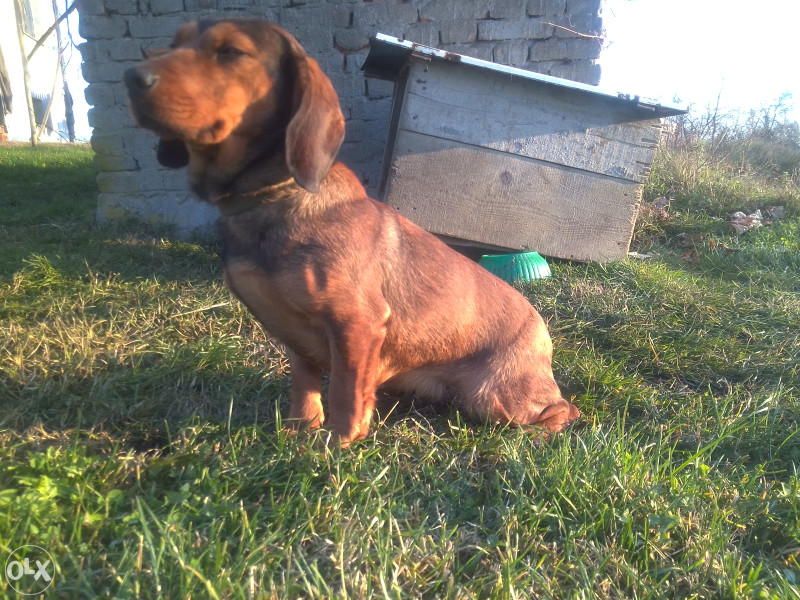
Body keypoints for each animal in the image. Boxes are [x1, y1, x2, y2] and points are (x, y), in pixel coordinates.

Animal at [124, 18, 580, 446]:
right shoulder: (295, 337)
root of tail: (542, 333)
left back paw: (537, 434)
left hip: (496, 398)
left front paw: (337, 443)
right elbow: (304, 386)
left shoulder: (356, 322)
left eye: (231, 51)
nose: (131, 77)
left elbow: (345, 391)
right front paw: (299, 432)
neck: (271, 198)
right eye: (173, 43)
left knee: (564, 410)